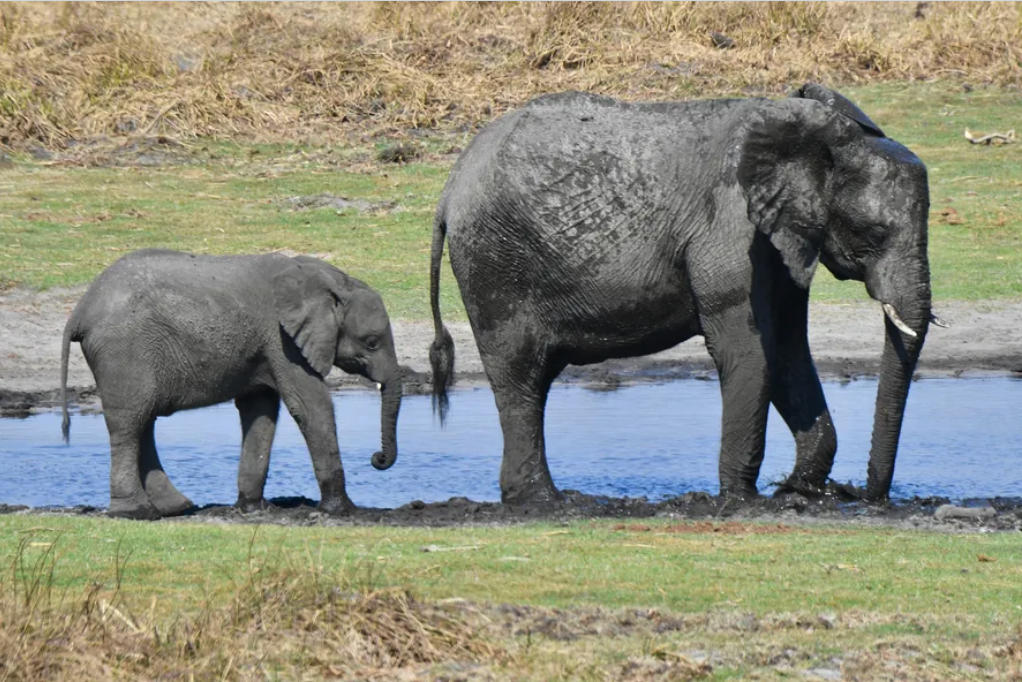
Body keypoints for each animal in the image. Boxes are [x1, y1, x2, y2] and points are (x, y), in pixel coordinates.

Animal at [60, 249, 402, 519]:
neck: (331, 281)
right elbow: (309, 406)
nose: (376, 459)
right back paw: (137, 513)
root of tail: (80, 311)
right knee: (129, 423)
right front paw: (342, 510)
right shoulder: (282, 338)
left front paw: (252, 508)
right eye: (371, 342)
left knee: (143, 420)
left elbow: (260, 410)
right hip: (124, 351)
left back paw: (176, 507)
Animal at [428, 83, 933, 505]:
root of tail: (450, 188)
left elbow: (789, 349)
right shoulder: (730, 227)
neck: (812, 132)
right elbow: (748, 350)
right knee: (521, 377)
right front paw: (741, 499)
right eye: (874, 234)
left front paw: (799, 490)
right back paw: (546, 500)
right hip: (495, 264)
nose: (862, 495)